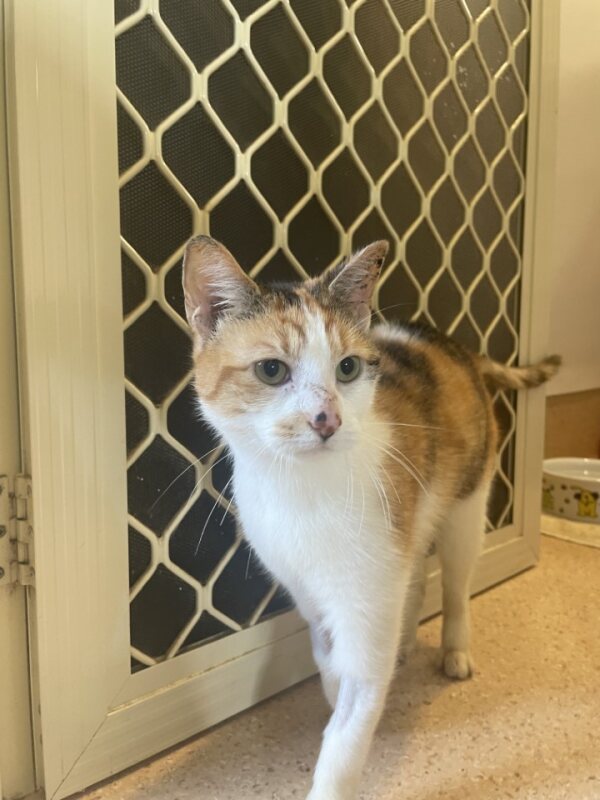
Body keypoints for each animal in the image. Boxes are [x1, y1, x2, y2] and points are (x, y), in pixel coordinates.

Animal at [182, 234, 559, 800]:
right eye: (272, 370)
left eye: (348, 369)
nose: (328, 419)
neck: (301, 493)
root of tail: (452, 343)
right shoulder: (310, 593)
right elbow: (328, 662)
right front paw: (336, 689)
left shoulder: (366, 590)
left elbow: (347, 733)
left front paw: (342, 750)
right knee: (416, 581)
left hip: (465, 509)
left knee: (455, 586)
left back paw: (454, 651)